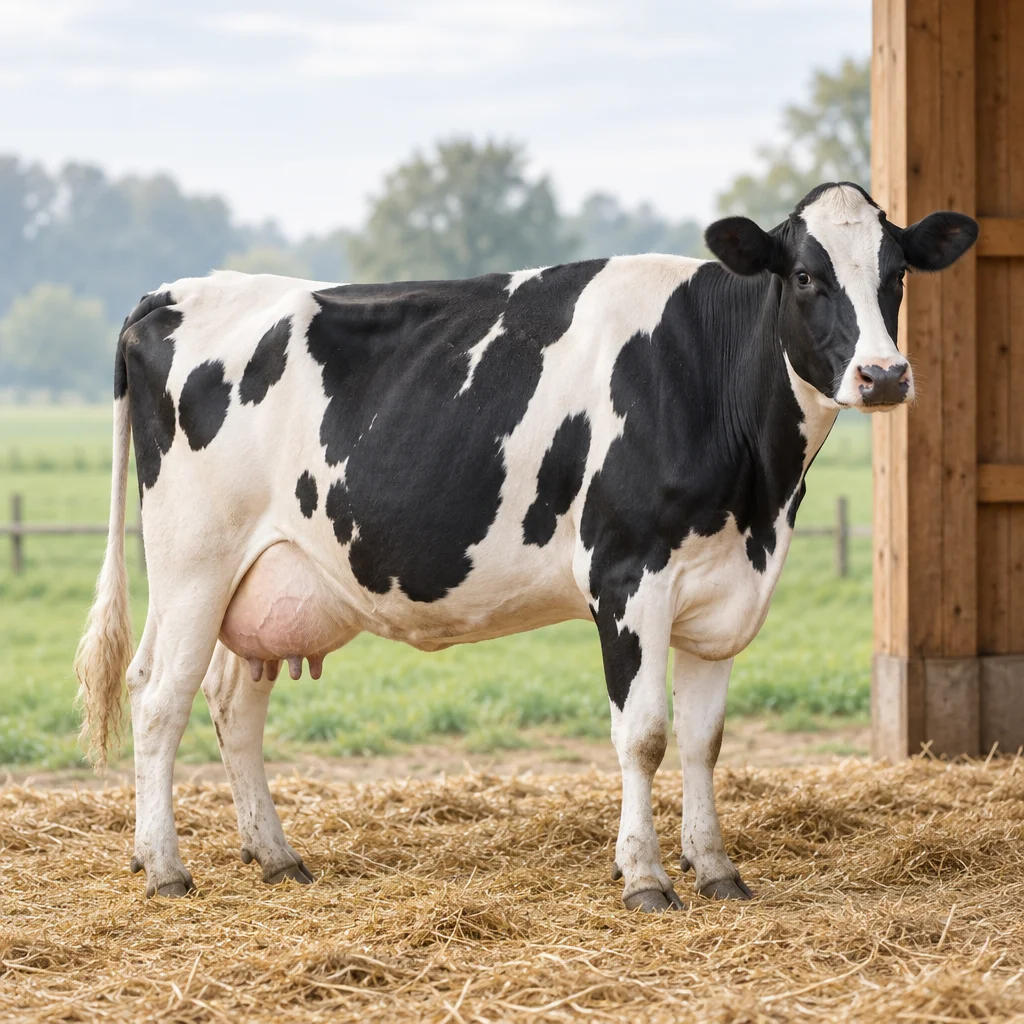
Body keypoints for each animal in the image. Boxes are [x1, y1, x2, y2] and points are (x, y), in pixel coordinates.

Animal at [76, 182, 977, 909]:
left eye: (895, 274)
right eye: (806, 277)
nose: (883, 374)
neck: (758, 493)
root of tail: (174, 291)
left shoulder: (721, 591)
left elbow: (704, 740)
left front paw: (717, 868)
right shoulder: (627, 575)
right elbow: (644, 734)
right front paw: (645, 877)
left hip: (264, 579)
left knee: (234, 704)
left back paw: (274, 855)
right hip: (194, 561)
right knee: (157, 696)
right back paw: (166, 868)